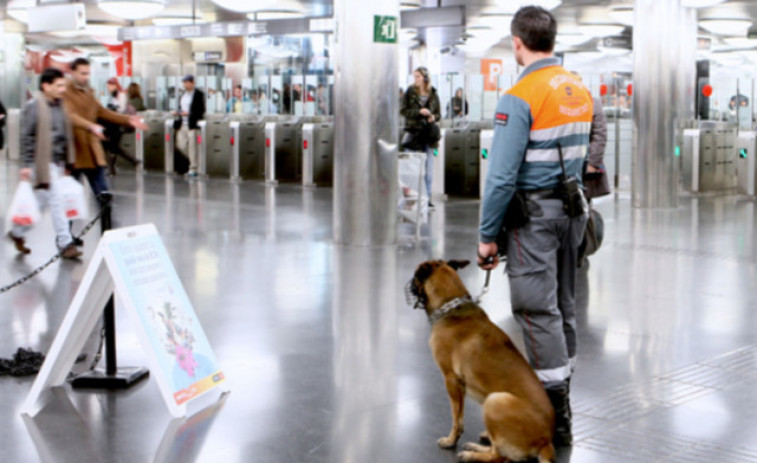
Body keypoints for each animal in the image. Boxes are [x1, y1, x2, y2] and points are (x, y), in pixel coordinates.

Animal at [408, 260, 556, 463]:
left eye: (415, 276)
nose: (408, 285)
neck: (451, 307)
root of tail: (546, 441)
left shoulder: (451, 381)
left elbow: (457, 419)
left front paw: (451, 441)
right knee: (498, 450)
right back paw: (480, 443)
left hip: (494, 400)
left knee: (499, 457)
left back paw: (471, 454)